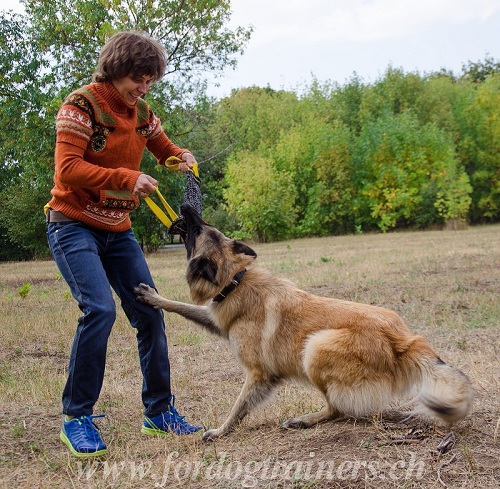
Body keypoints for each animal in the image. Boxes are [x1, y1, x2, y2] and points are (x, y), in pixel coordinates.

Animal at [136, 204, 472, 440]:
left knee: (337, 409)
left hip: (314, 348)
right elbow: (182, 307)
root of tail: (403, 339)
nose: (186, 207)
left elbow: (237, 408)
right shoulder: (218, 319)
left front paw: (220, 432)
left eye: (197, 230)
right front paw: (152, 297)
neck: (236, 281)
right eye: (207, 227)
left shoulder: (258, 375)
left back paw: (305, 420)